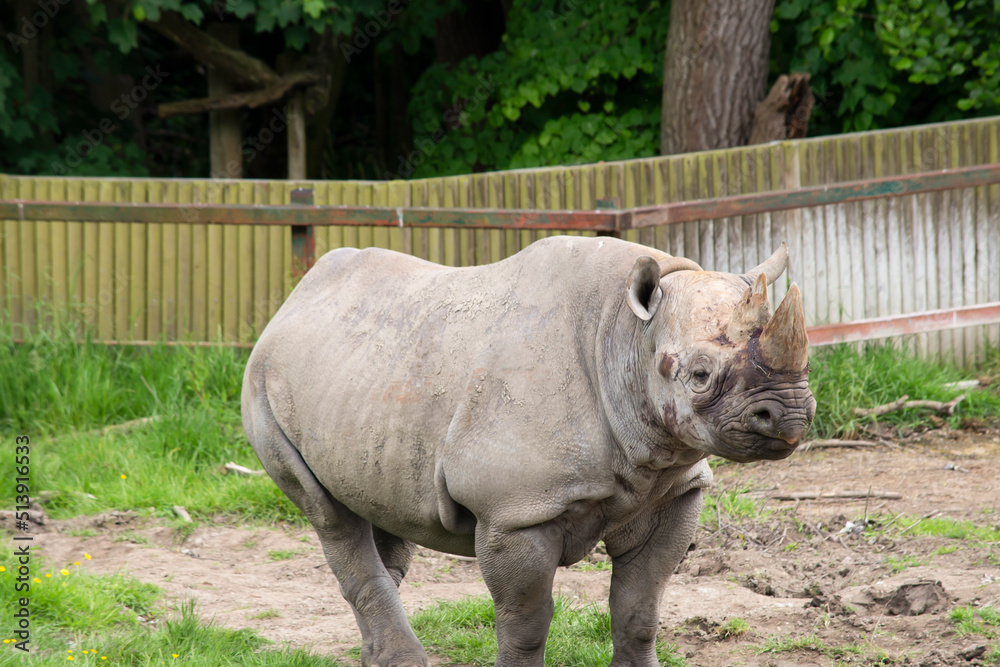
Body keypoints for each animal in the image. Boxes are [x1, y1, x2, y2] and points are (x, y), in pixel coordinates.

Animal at [241, 235, 815, 667]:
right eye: (699, 375)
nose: (788, 415)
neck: (627, 336)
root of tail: (294, 297)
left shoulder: (672, 487)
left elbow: (640, 606)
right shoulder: (515, 511)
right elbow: (526, 622)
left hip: (367, 377)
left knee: (376, 502)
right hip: (260, 382)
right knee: (328, 514)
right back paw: (400, 659)